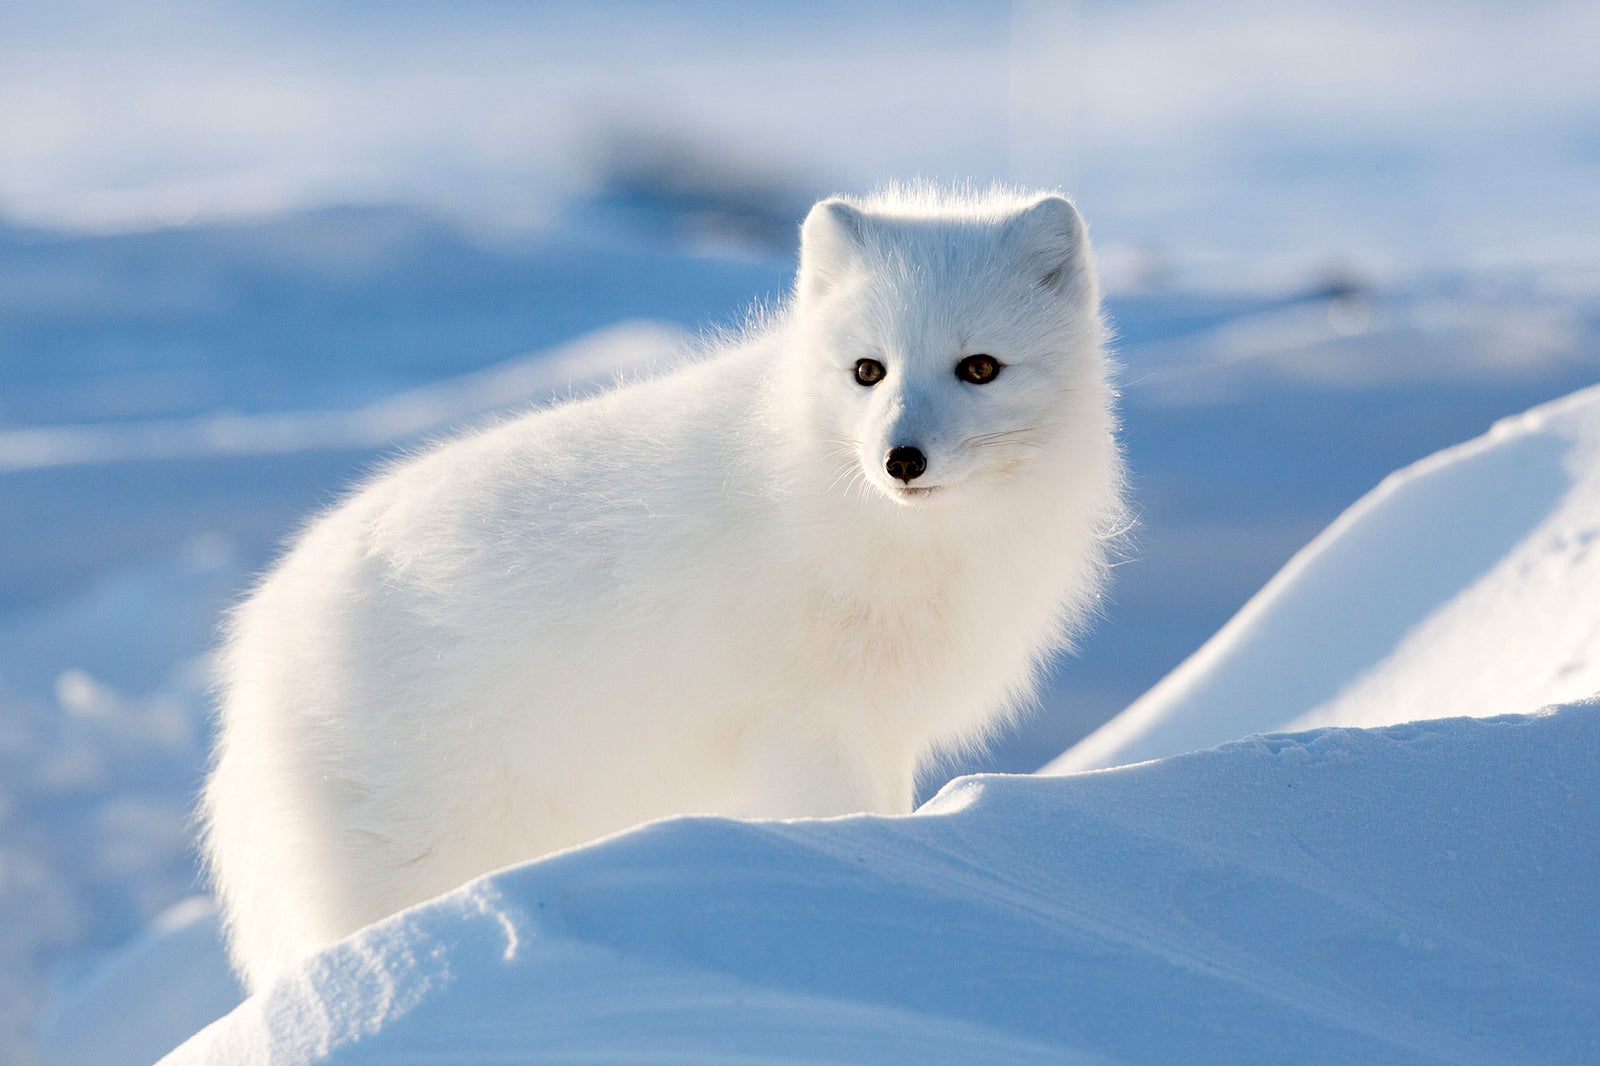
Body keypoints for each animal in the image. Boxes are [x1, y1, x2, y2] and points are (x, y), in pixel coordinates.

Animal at [202, 185, 1127, 989]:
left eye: (980, 368)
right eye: (869, 370)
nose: (900, 458)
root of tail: (257, 637)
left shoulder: (880, 729)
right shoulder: (807, 731)